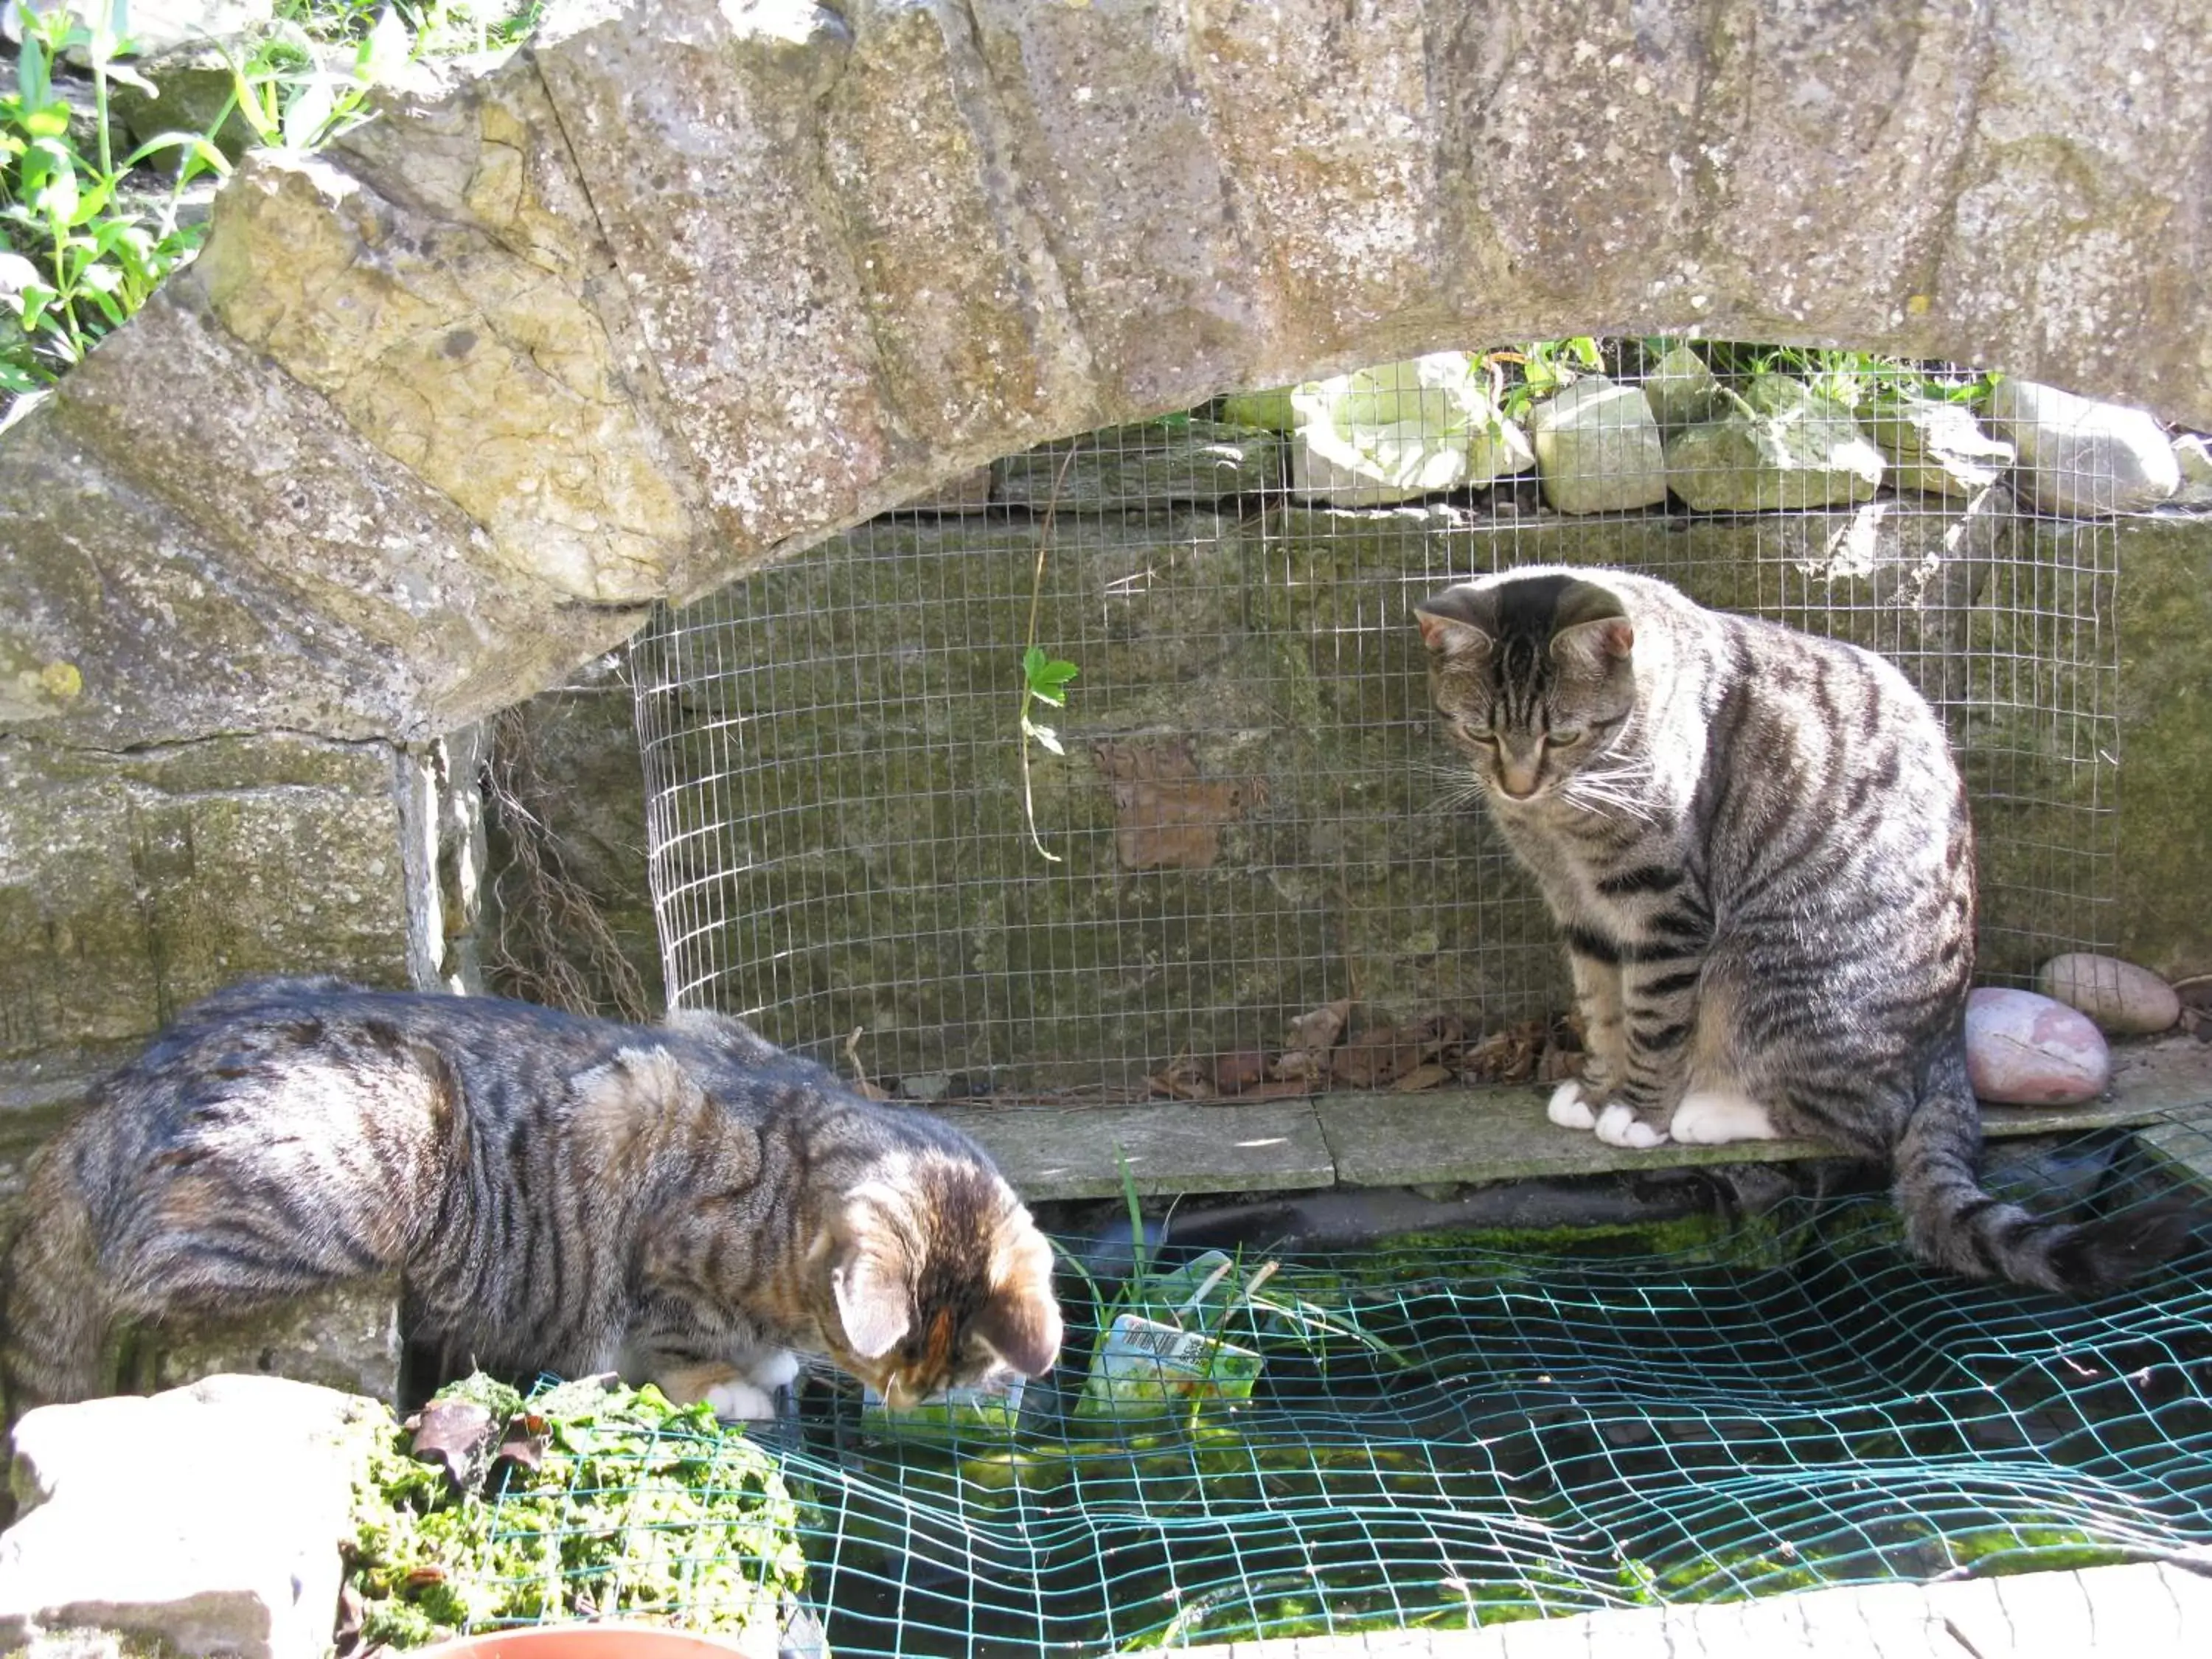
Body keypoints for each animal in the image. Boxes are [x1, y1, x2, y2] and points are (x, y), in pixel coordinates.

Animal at [0, 982, 1062, 1425]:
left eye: (952, 1371)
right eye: (886, 1357)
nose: (904, 1398)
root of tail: (104, 1100)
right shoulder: (659, 1226)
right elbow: (684, 1340)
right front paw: (735, 1381)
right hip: (384, 1144)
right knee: (148, 1278)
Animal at [1416, 571, 2194, 1301]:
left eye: (1564, 734)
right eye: (1481, 733)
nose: (1515, 785)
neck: (1565, 814)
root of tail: (1948, 1043)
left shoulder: (1665, 904)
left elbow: (1653, 1019)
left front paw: (1636, 1111)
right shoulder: (1580, 907)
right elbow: (1603, 1006)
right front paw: (1598, 1087)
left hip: (1774, 964)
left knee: (1864, 1121)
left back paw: (1710, 1114)